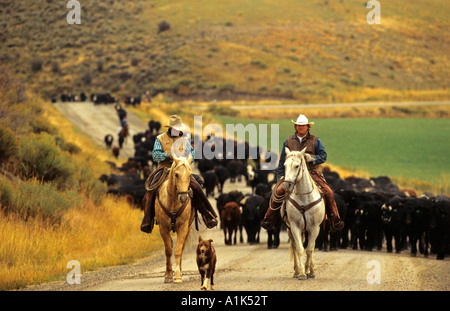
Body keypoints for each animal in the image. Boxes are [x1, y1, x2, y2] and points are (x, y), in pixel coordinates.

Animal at [154, 155, 194, 284]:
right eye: (176, 174)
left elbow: (178, 250)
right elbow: (168, 250)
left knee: (181, 247)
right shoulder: (163, 228)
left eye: (190, 174)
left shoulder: (183, 227)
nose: (183, 197)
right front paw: (168, 275)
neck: (173, 203)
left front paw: (177, 276)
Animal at [282, 147, 324, 282]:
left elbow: (310, 249)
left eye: (297, 166)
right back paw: (296, 271)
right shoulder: (295, 227)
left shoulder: (315, 227)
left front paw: (309, 271)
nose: (287, 185)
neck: (304, 197)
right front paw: (301, 273)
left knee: (311, 246)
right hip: (290, 229)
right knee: (295, 246)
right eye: (285, 165)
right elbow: (300, 249)